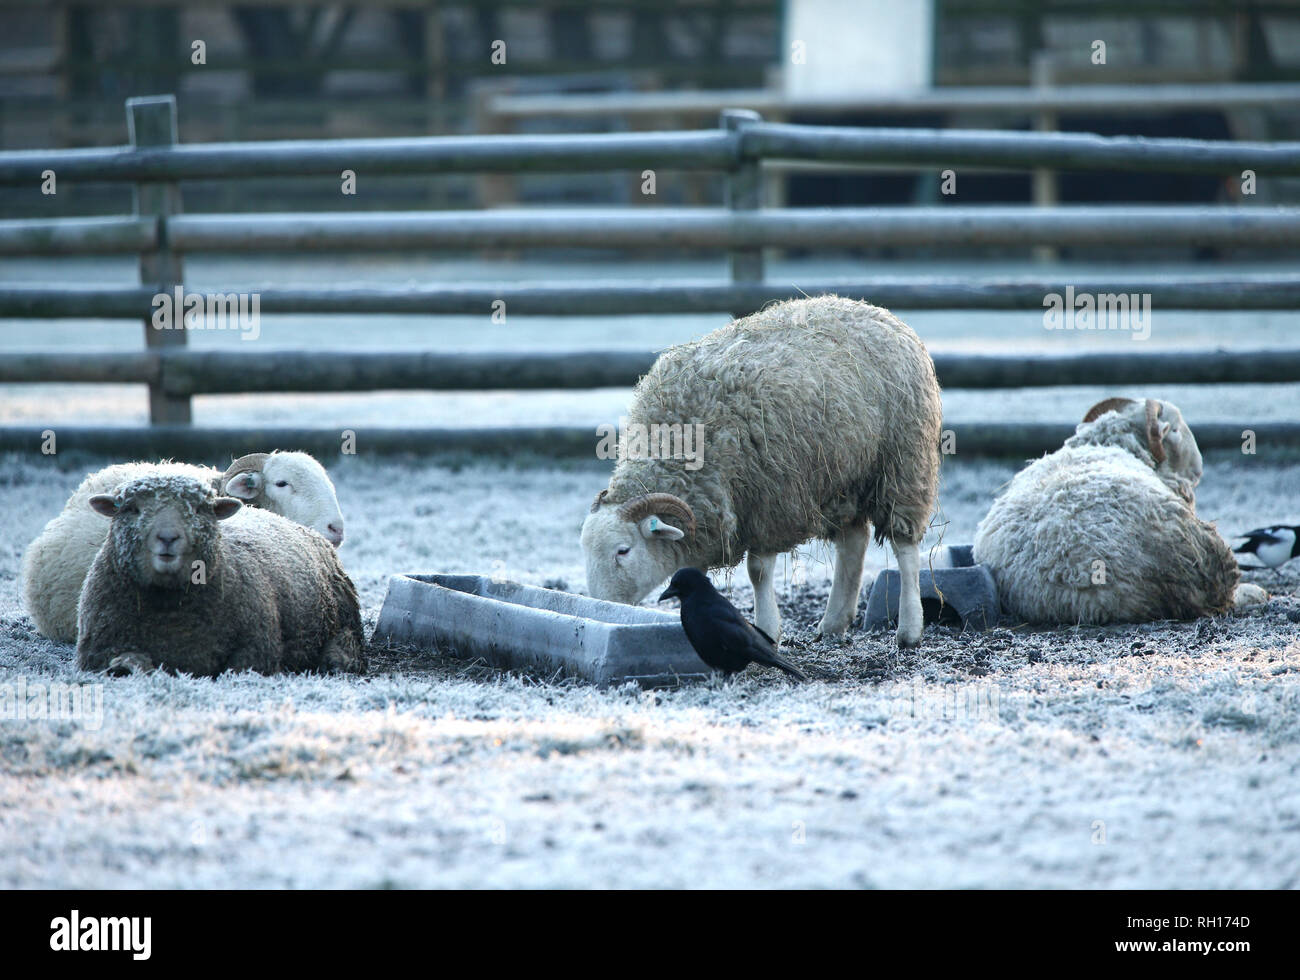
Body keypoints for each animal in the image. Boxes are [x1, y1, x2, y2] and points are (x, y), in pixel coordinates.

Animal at [76, 470, 366, 670]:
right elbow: (127, 662)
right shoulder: (97, 650)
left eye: (198, 510)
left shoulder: (257, 649)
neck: (169, 611)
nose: (168, 537)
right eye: (133, 509)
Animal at [585, 297, 941, 649]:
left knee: (904, 546)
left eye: (623, 550)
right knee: (854, 542)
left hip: (903, 463)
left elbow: (757, 571)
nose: (603, 604)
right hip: (841, 475)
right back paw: (833, 623)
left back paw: (910, 629)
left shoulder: (770, 500)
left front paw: (768, 629)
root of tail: (877, 312)